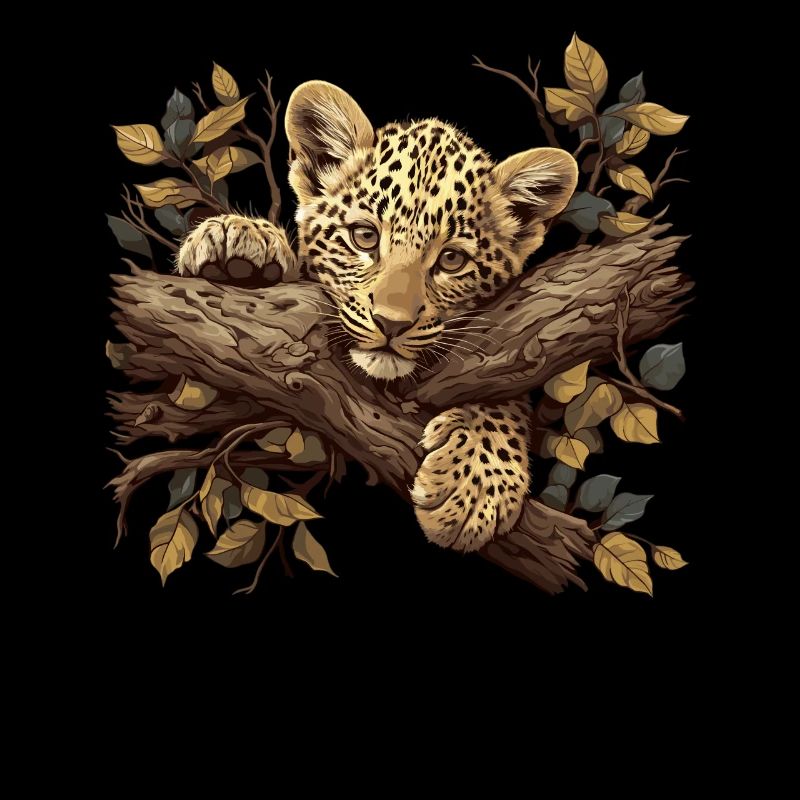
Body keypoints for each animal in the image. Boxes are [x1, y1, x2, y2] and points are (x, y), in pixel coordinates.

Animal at [177, 81, 578, 553]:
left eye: (452, 260)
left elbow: (506, 388)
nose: (392, 323)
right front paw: (238, 240)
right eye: (365, 237)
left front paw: (474, 483)